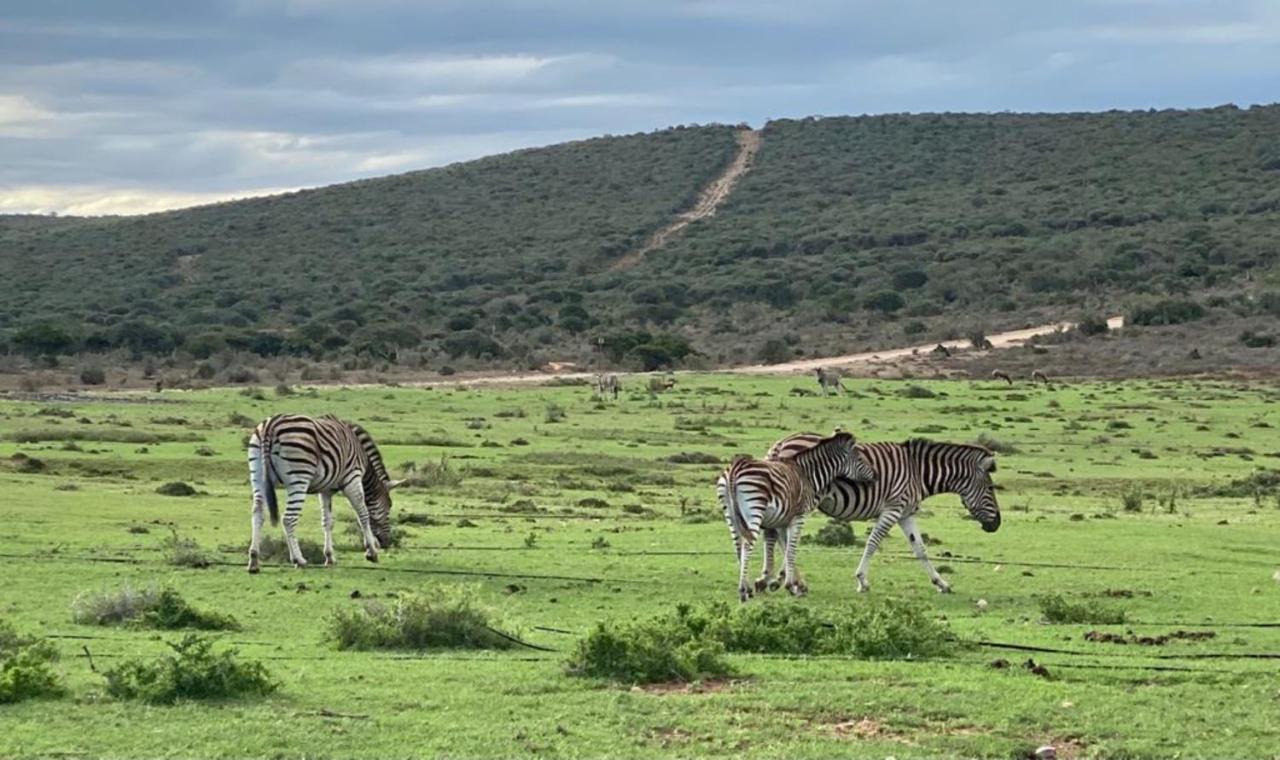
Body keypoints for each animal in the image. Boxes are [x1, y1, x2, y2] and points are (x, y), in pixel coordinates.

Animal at [240, 417, 396, 570]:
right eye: (389, 506)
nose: (387, 542)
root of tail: (270, 425)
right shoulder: (352, 478)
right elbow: (363, 515)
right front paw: (372, 552)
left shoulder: (325, 490)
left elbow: (327, 522)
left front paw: (329, 557)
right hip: (299, 477)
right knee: (288, 519)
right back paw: (299, 560)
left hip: (257, 475)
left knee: (258, 514)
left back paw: (254, 560)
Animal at [716, 429, 875, 601]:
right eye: (859, 458)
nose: (875, 475)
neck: (808, 474)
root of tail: (735, 468)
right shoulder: (799, 516)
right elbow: (792, 548)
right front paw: (791, 586)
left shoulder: (781, 519)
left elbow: (785, 547)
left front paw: (787, 582)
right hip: (754, 508)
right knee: (747, 544)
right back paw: (744, 590)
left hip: (730, 513)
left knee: (738, 545)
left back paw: (746, 587)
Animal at [757, 432, 998, 591]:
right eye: (990, 488)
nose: (997, 525)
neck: (918, 473)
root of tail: (780, 444)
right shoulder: (893, 509)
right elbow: (873, 542)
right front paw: (862, 580)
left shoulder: (906, 513)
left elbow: (920, 548)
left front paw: (941, 583)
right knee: (782, 536)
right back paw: (786, 579)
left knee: (776, 534)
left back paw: (776, 578)